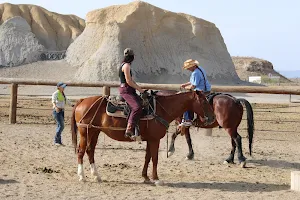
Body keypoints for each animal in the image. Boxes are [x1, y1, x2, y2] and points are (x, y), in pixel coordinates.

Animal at [70, 90, 216, 184]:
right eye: (204, 102)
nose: (212, 118)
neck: (160, 109)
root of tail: (82, 101)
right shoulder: (155, 140)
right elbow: (155, 158)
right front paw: (156, 179)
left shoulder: (150, 140)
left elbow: (148, 158)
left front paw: (145, 177)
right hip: (84, 132)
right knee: (81, 151)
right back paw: (82, 177)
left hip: (94, 132)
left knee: (90, 151)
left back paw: (96, 176)